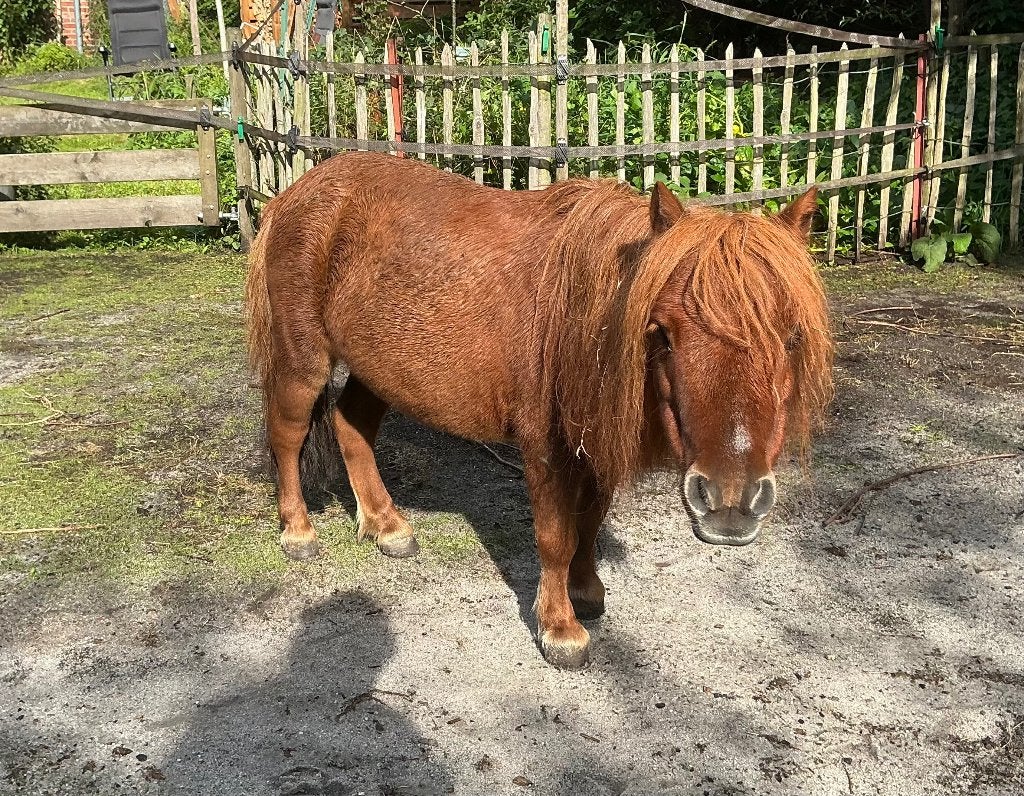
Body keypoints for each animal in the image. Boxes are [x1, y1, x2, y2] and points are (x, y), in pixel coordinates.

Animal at [245, 152, 834, 669]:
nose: (730, 502)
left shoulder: (592, 442)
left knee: (352, 427)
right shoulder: (547, 448)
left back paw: (386, 526)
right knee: (287, 435)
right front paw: (560, 627)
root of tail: (294, 195)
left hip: (380, 368)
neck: (584, 316)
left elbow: (589, 522)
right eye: (663, 334)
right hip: (304, 362)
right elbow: (555, 535)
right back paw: (298, 531)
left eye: (794, 336)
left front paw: (586, 591)